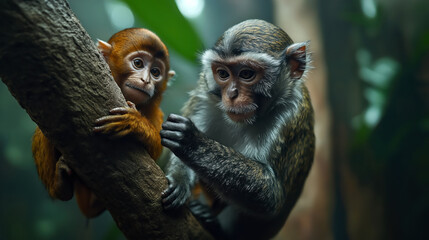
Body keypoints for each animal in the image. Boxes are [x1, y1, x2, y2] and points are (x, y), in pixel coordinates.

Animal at [31, 27, 176, 218]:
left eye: (156, 72)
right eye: (138, 63)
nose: (146, 81)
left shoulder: (157, 113)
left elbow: (153, 155)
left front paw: (134, 122)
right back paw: (59, 186)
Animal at [160, 19, 314, 239]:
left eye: (246, 74)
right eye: (223, 74)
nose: (232, 94)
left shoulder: (290, 114)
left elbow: (271, 195)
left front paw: (190, 141)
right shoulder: (205, 93)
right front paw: (179, 180)